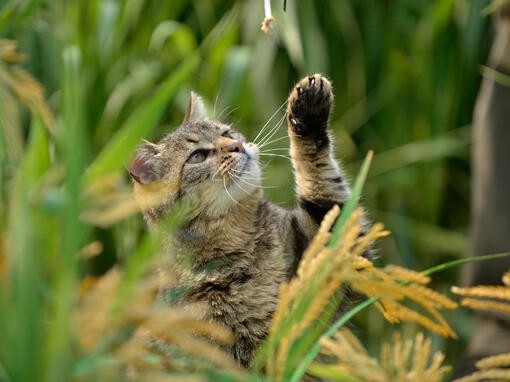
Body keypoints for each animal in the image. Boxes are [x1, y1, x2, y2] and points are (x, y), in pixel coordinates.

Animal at [128, 74, 354, 364]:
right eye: (197, 156)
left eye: (226, 133)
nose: (237, 146)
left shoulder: (332, 249)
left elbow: (321, 179)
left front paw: (307, 114)